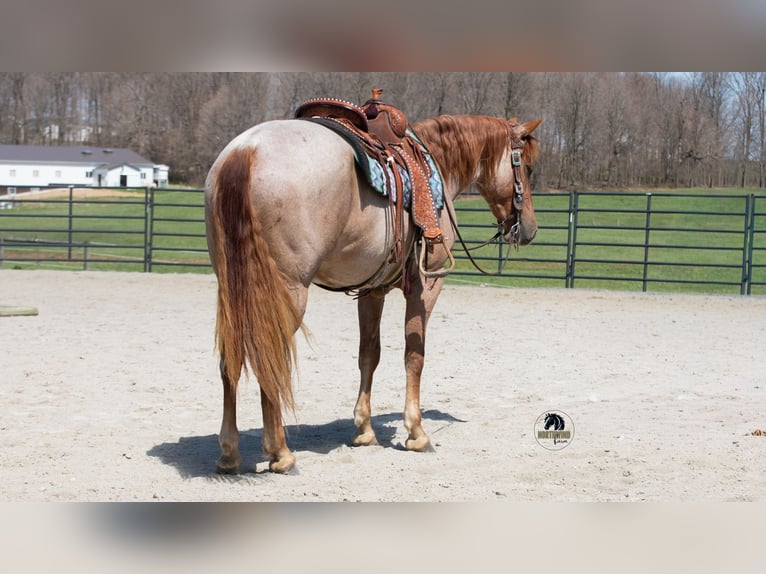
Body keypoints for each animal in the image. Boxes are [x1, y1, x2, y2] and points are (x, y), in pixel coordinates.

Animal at [204, 111, 542, 474]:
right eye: (528, 168)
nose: (530, 229)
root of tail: (245, 151)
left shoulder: (372, 290)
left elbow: (369, 354)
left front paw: (364, 429)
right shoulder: (427, 284)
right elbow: (414, 354)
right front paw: (416, 432)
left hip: (235, 289)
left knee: (230, 361)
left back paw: (229, 453)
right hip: (285, 294)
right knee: (269, 359)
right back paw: (280, 453)